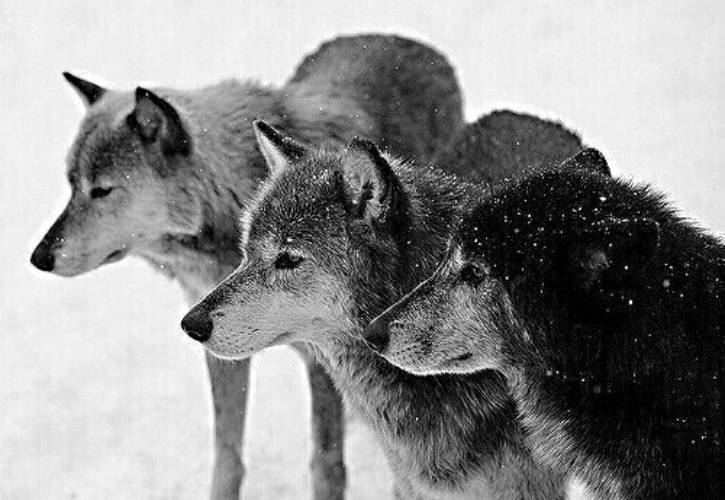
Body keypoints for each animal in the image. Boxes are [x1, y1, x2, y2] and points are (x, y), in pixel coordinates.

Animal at [28, 35, 464, 500]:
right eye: (71, 185)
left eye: (102, 190)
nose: (40, 257)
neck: (234, 190)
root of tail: (402, 39)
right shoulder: (219, 347)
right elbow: (227, 456)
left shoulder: (319, 362)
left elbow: (325, 463)